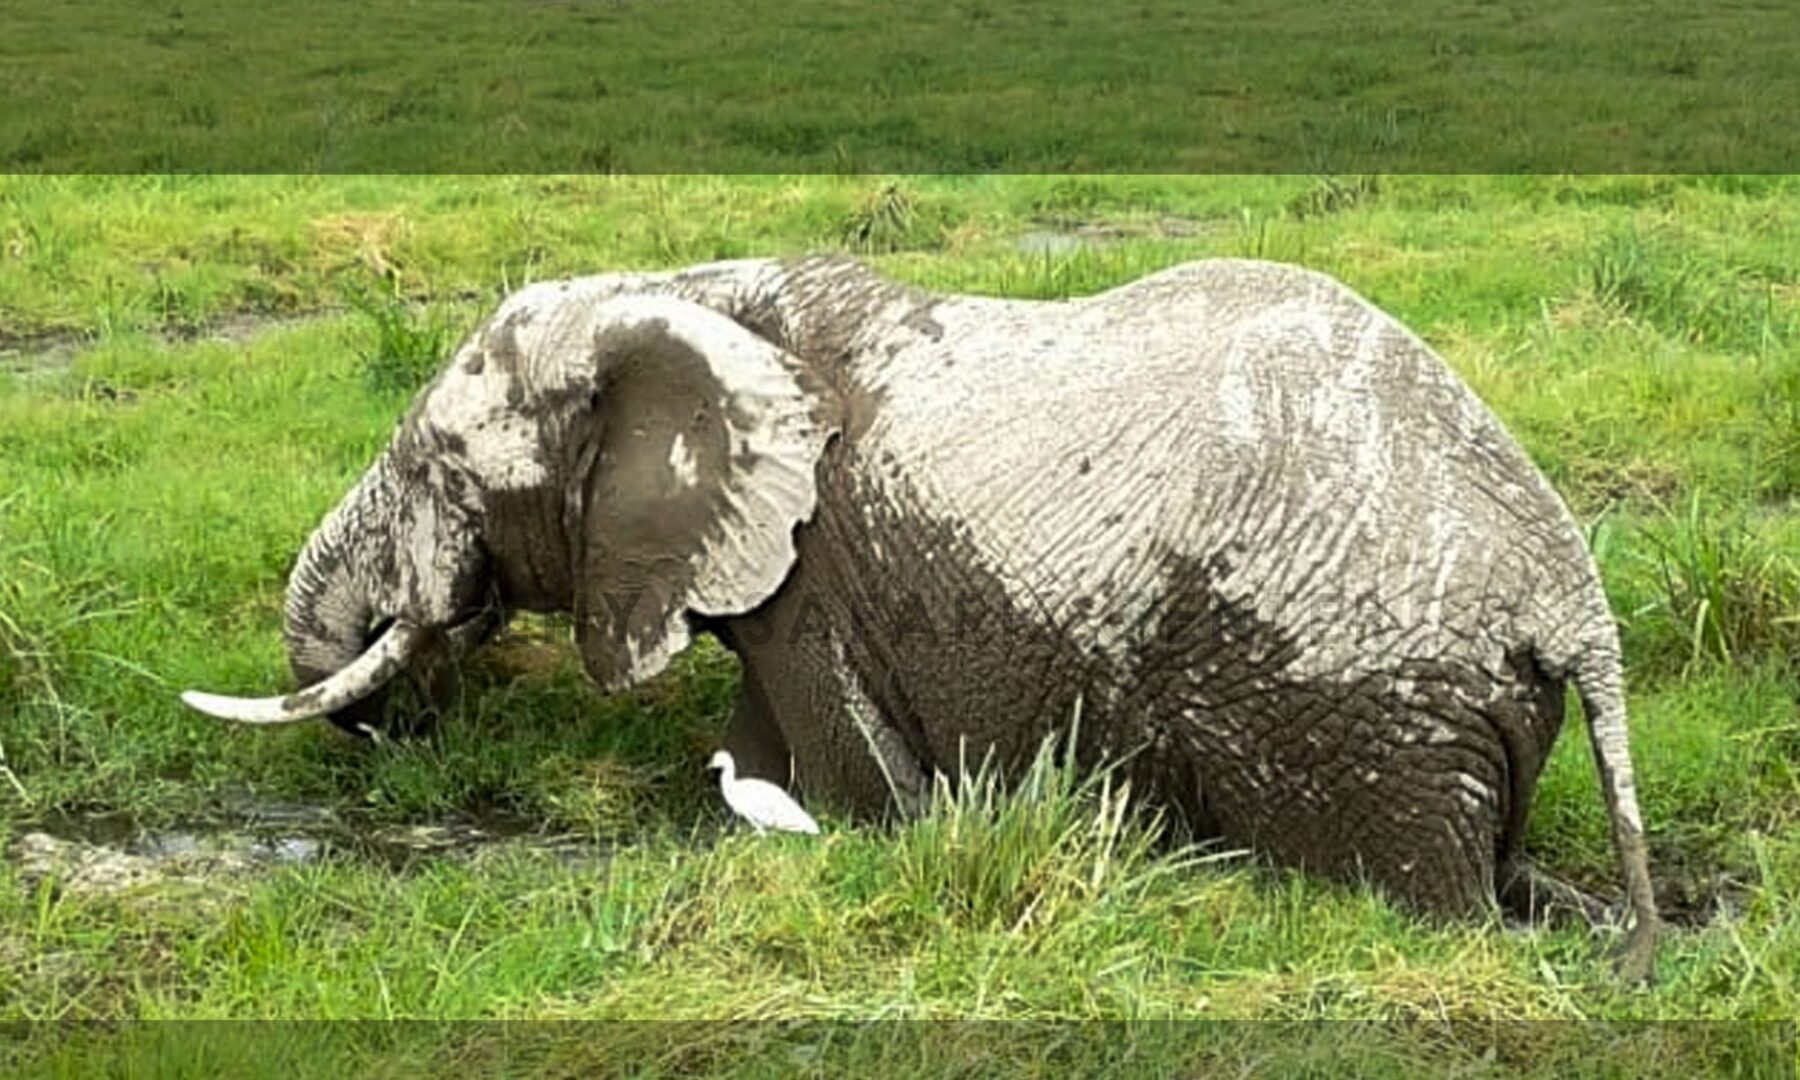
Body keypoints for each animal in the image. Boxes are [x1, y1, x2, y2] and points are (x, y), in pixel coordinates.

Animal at [181, 254, 1659, 978]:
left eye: (443, 470)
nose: (420, 706)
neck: (679, 291)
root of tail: (1573, 603)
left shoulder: (818, 575)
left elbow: (850, 776)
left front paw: (833, 832)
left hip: (1353, 708)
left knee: (1420, 904)